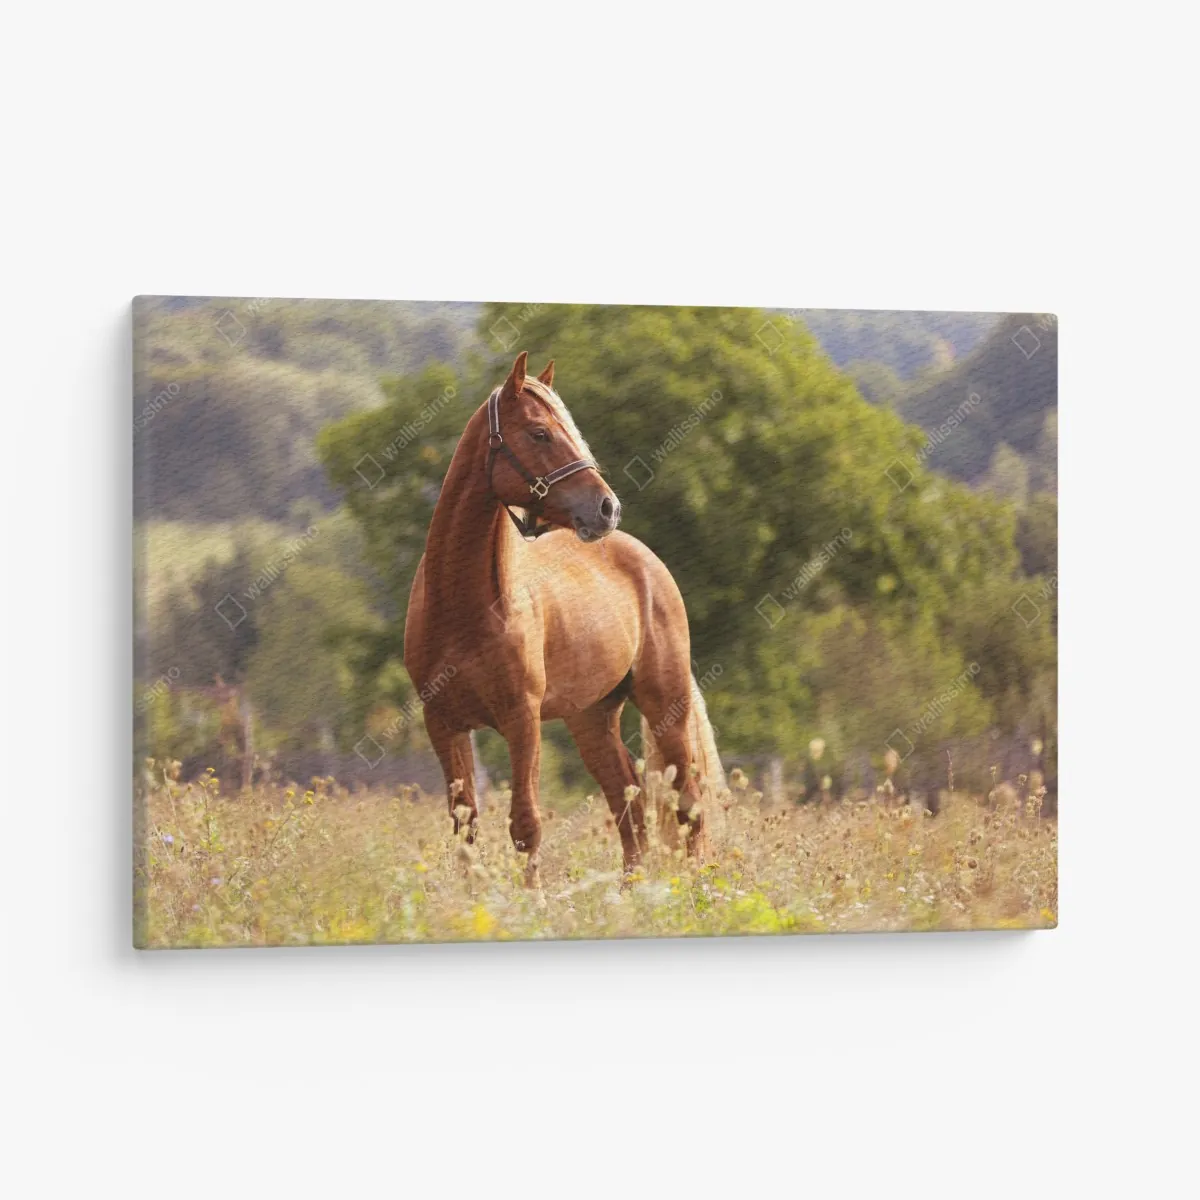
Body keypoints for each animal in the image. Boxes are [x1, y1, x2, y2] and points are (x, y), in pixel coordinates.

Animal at [403, 351, 723, 886]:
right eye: (539, 433)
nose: (607, 507)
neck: (464, 608)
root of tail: (644, 559)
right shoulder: (443, 723)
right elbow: (465, 826)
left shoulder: (522, 719)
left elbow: (525, 825)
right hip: (591, 719)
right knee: (630, 809)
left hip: (666, 705)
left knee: (687, 807)